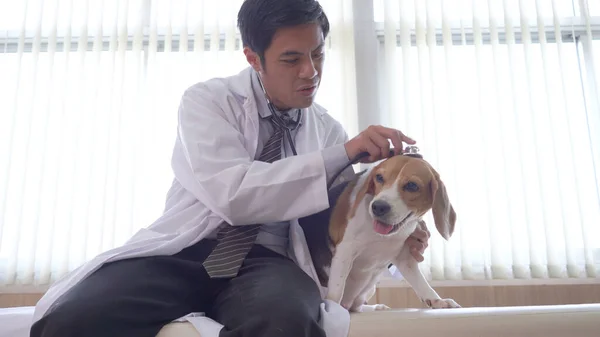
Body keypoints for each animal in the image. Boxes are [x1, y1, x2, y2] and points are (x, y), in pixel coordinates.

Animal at [298, 154, 460, 312]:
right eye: (379, 178)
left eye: (412, 185)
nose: (378, 207)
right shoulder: (345, 251)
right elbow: (336, 290)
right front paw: (333, 310)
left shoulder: (405, 257)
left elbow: (421, 282)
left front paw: (438, 300)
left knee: (356, 307)